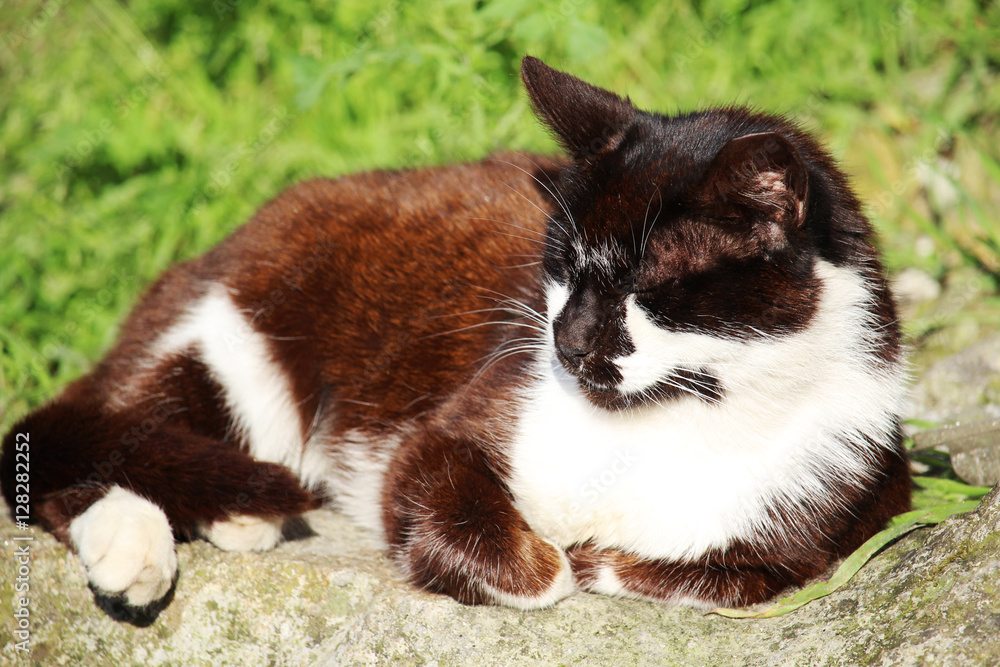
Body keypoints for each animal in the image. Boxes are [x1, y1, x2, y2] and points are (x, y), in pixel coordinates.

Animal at [0, 54, 912, 624]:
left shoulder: (846, 496)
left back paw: (239, 515)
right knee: (94, 433)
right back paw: (139, 539)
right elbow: (458, 509)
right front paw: (547, 562)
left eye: (646, 287)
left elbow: (717, 573)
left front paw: (599, 559)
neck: (672, 418)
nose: (567, 338)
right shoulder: (459, 423)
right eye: (560, 264)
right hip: (230, 326)